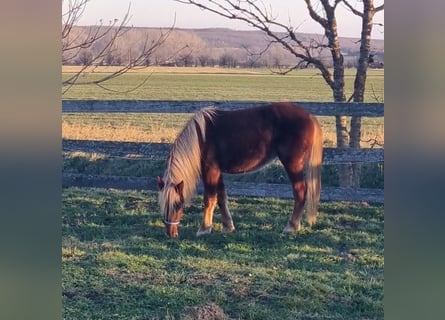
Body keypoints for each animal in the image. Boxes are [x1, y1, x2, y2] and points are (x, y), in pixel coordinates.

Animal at [157, 102, 322, 238]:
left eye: (178, 205)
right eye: (163, 205)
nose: (171, 234)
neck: (200, 138)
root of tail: (309, 116)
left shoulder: (210, 170)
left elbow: (209, 199)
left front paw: (204, 229)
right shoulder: (217, 172)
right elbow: (221, 198)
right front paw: (228, 227)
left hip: (293, 164)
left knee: (300, 192)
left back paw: (291, 226)